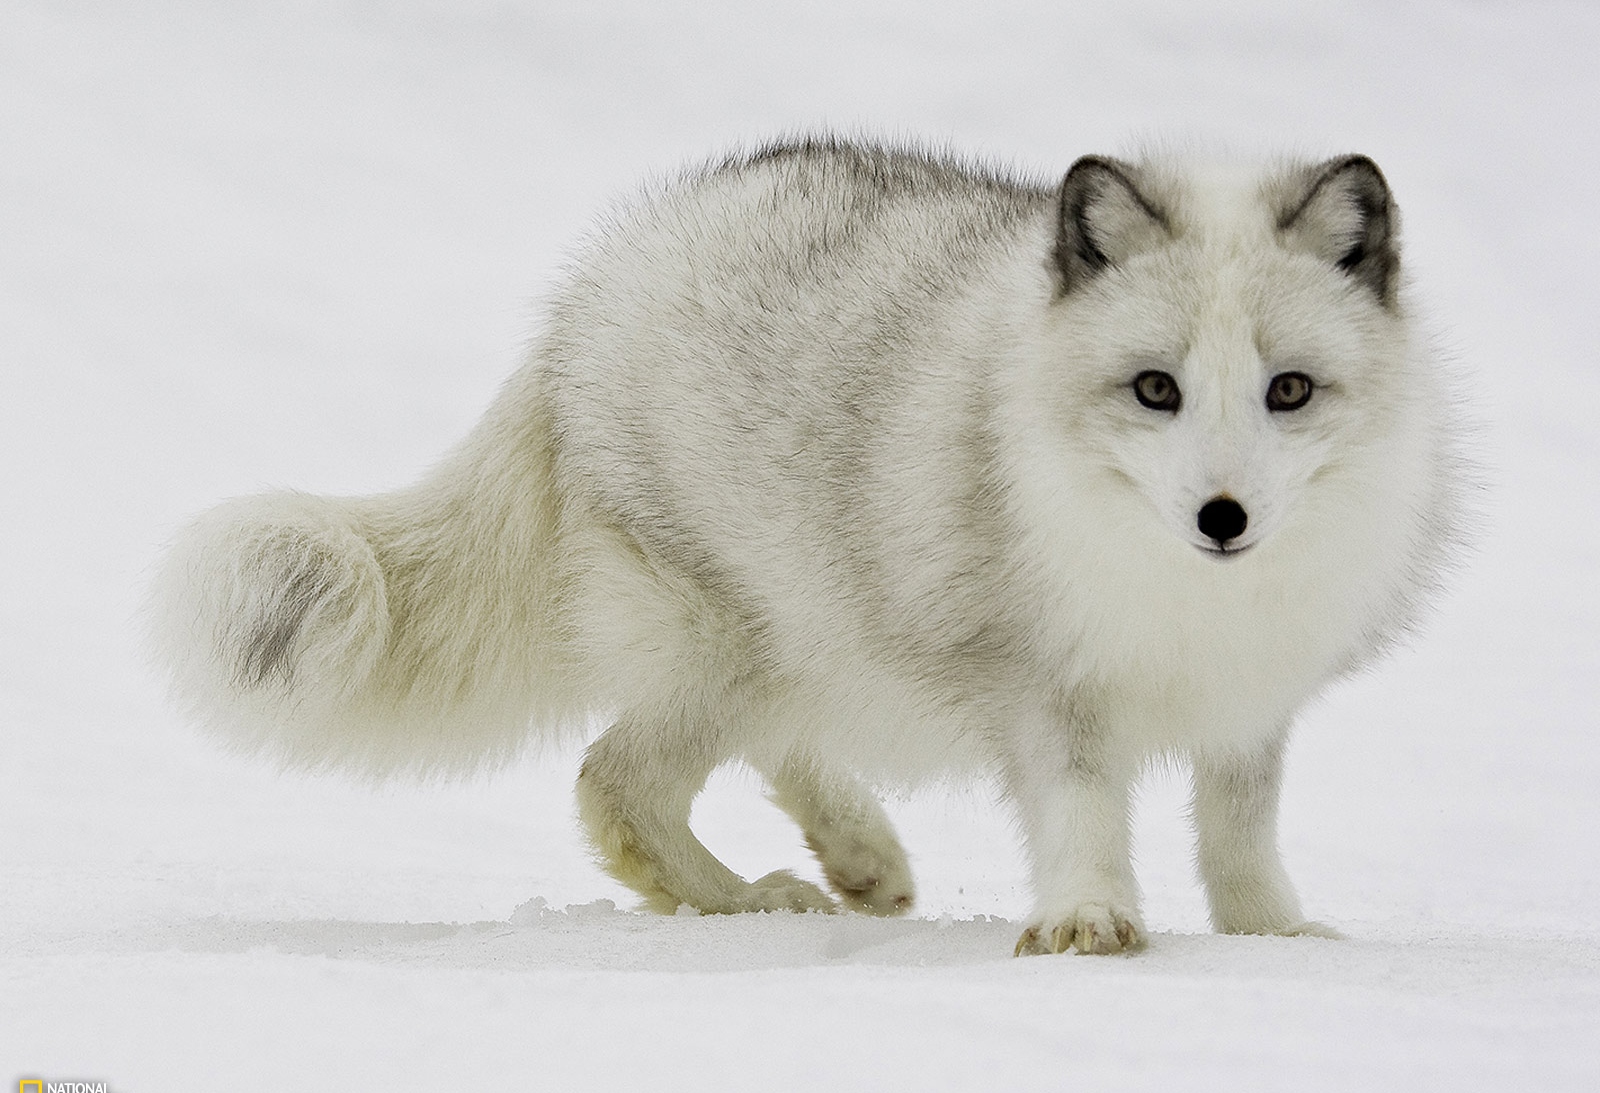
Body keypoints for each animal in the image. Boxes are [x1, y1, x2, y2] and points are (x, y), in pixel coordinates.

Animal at [149, 137, 1466, 955]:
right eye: (1155, 388)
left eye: (1288, 390)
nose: (1221, 518)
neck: (1181, 593)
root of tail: (590, 288)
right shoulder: (1044, 685)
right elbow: (1085, 811)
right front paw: (1089, 924)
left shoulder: (1250, 699)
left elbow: (1240, 832)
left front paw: (1271, 936)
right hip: (730, 641)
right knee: (612, 784)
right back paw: (748, 905)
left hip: (801, 635)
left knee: (765, 749)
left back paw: (859, 859)